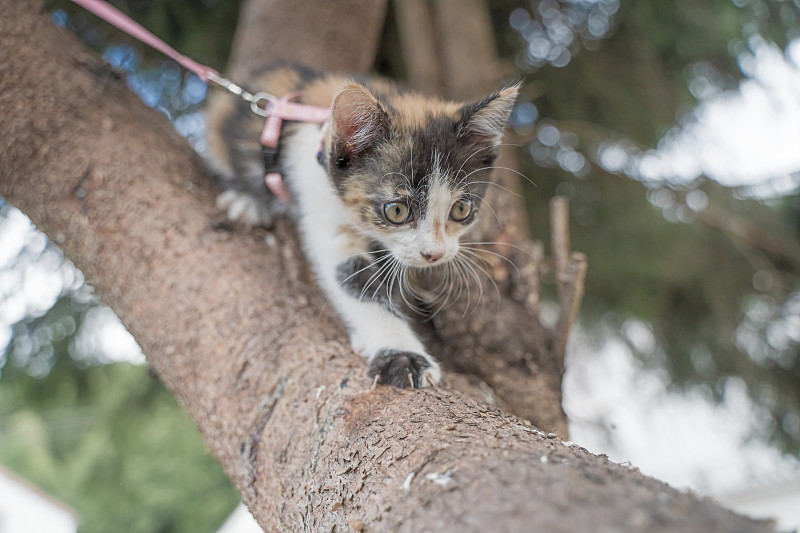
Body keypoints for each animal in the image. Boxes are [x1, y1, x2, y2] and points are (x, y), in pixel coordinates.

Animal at [205, 63, 520, 386]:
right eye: (396, 211)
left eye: (461, 208)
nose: (434, 255)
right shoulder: (322, 204)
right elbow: (354, 278)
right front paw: (401, 355)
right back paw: (248, 202)